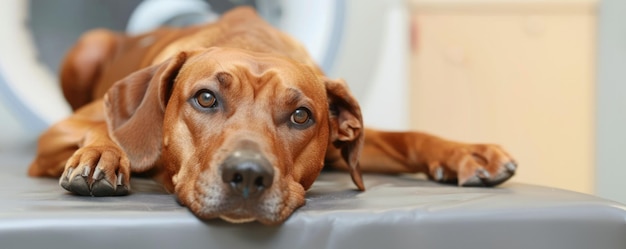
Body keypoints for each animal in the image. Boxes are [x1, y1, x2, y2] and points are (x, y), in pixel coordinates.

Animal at [28, 7, 516, 226]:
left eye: (301, 116)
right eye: (205, 99)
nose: (248, 176)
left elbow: (407, 135)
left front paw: (467, 152)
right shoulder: (58, 133)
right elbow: (101, 127)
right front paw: (103, 156)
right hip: (87, 46)